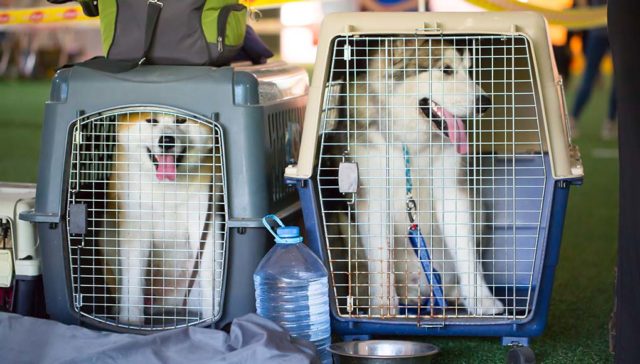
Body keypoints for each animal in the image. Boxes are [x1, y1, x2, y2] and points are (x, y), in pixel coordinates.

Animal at [100, 112, 225, 326]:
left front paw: (212, 317)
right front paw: (131, 321)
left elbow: (210, 274)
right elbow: (133, 280)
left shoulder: (203, 220)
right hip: (105, 232)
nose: (166, 140)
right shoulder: (136, 224)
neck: (166, 188)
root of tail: (166, 307)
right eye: (151, 120)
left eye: (181, 120)